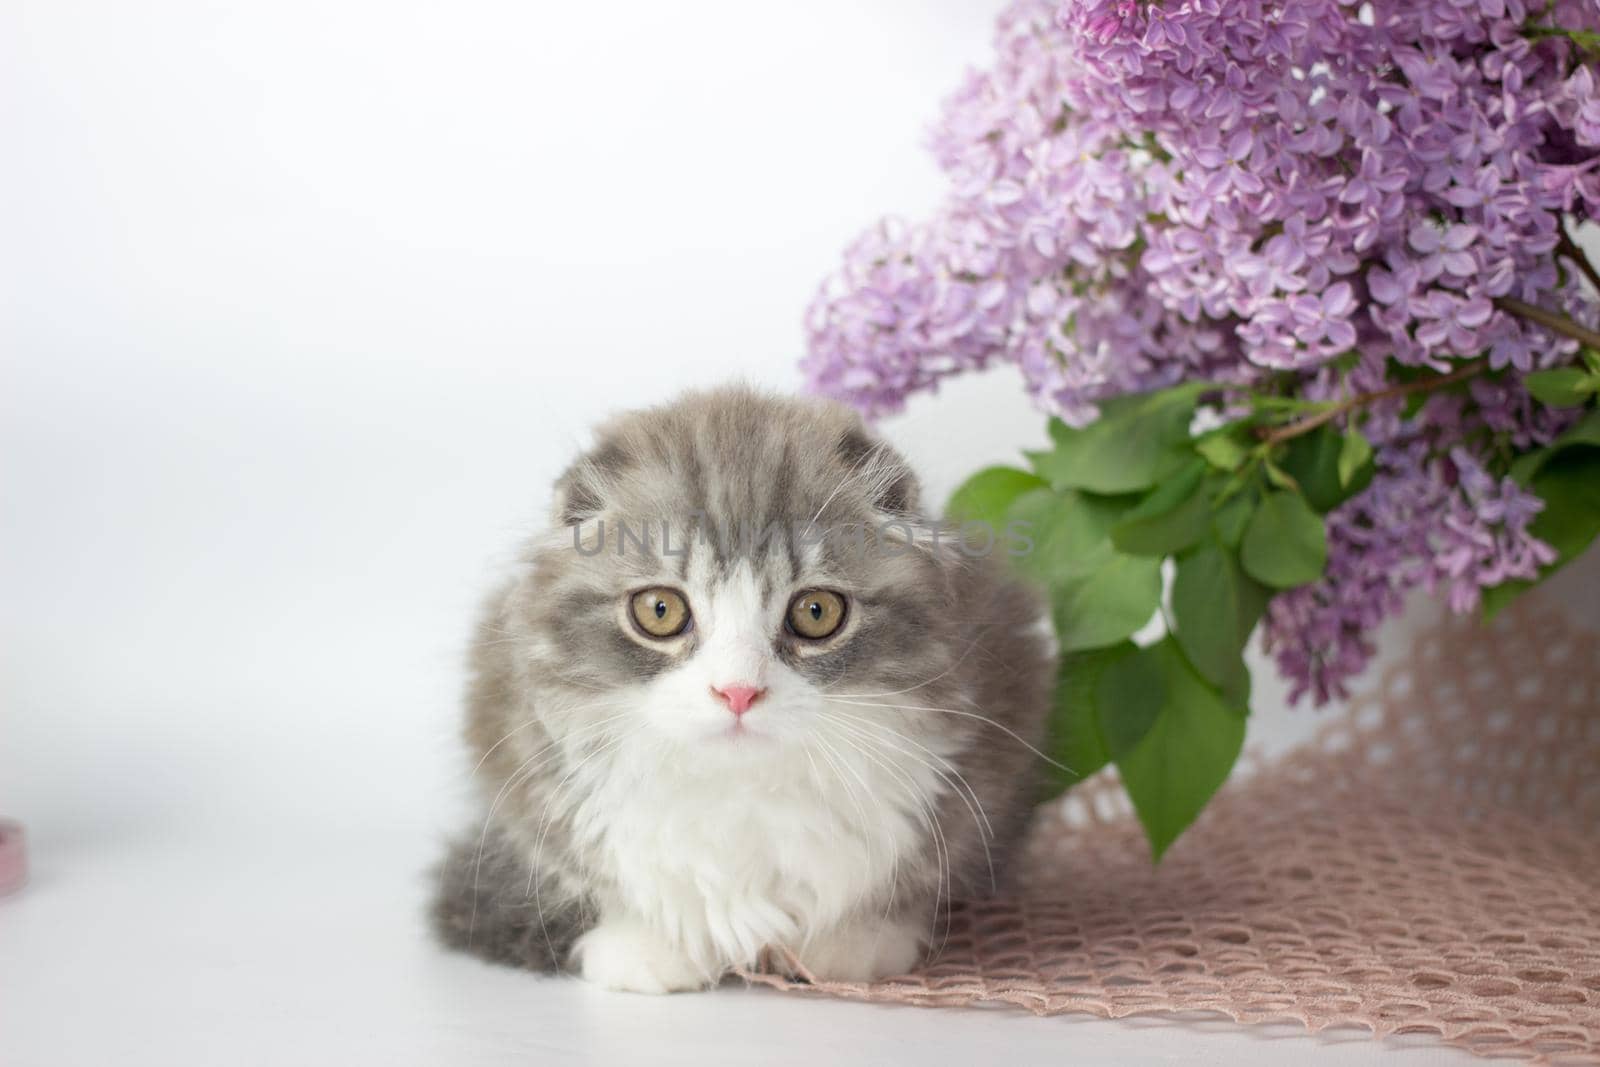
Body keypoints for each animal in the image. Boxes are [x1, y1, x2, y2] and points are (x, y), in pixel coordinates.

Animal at [432, 388, 1056, 998]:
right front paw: (645, 947)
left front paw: (853, 944)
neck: (742, 792)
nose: (737, 692)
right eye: (660, 610)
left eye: (816, 611)